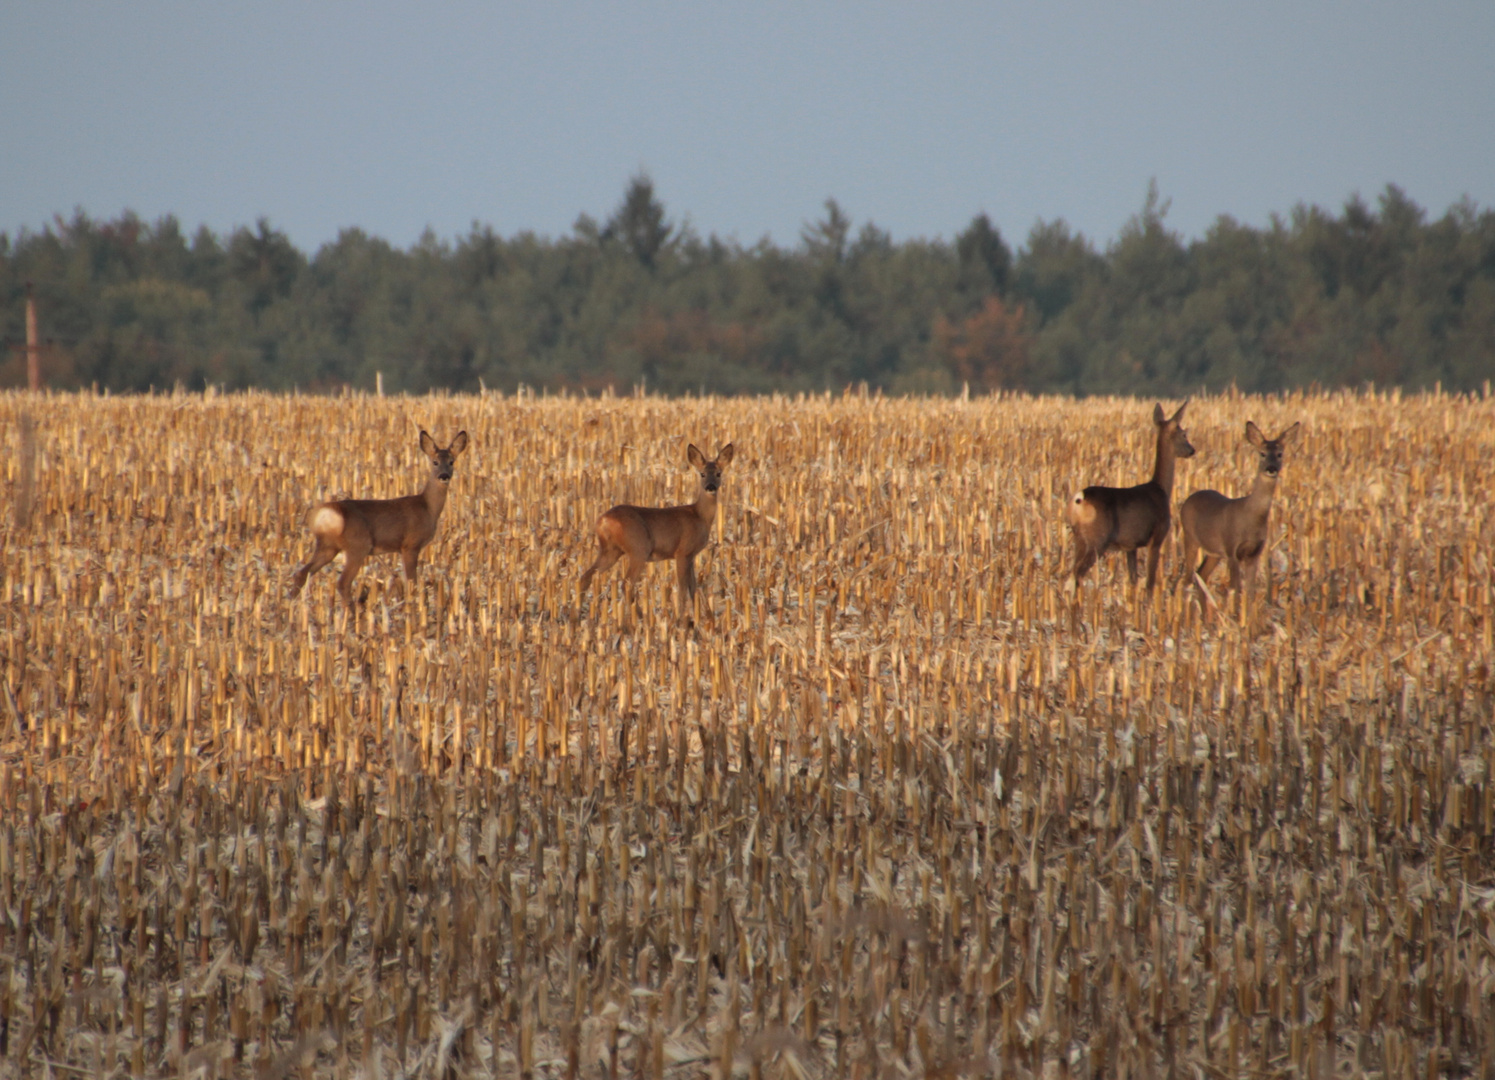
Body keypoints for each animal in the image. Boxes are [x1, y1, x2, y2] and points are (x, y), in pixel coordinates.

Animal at [288, 424, 469, 601]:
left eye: (452, 462)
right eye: (435, 462)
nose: (444, 476)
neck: (427, 507)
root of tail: (326, 514)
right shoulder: (410, 544)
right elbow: (412, 584)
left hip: (327, 545)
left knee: (302, 573)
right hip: (357, 545)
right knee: (342, 583)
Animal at [577, 442, 735, 613]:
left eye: (718, 473)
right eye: (702, 474)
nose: (710, 487)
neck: (699, 516)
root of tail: (603, 520)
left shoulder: (691, 556)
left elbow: (694, 588)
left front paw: (703, 615)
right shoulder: (682, 552)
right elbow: (682, 588)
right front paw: (681, 615)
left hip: (610, 550)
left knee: (586, 577)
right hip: (639, 548)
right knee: (626, 584)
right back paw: (639, 615)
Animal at [1070, 400, 1196, 589]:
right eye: (1184, 434)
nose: (1192, 450)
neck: (1160, 489)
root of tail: (1080, 498)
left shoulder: (1130, 546)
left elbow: (1133, 580)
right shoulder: (1157, 537)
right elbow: (1149, 582)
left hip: (1079, 538)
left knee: (1070, 572)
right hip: (1097, 540)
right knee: (1078, 572)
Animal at [1178, 415, 1297, 598]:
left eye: (1280, 454)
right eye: (1262, 453)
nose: (1271, 468)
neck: (1251, 516)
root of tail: (1189, 499)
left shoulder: (1255, 553)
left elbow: (1250, 591)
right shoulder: (1231, 548)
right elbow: (1235, 589)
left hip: (1214, 552)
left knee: (1201, 575)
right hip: (1190, 537)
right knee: (1187, 578)